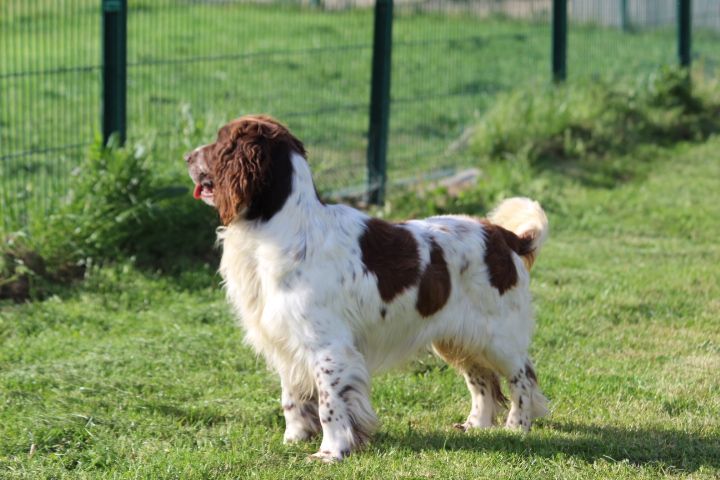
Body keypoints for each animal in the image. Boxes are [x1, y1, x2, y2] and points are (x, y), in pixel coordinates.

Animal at [184, 114, 544, 464]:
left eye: (220, 142)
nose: (187, 156)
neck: (281, 227)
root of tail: (505, 236)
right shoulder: (286, 339)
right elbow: (291, 397)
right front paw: (295, 438)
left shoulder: (329, 348)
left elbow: (330, 404)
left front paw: (331, 452)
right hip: (457, 338)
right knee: (482, 379)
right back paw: (476, 425)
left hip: (499, 337)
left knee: (523, 376)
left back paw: (517, 426)